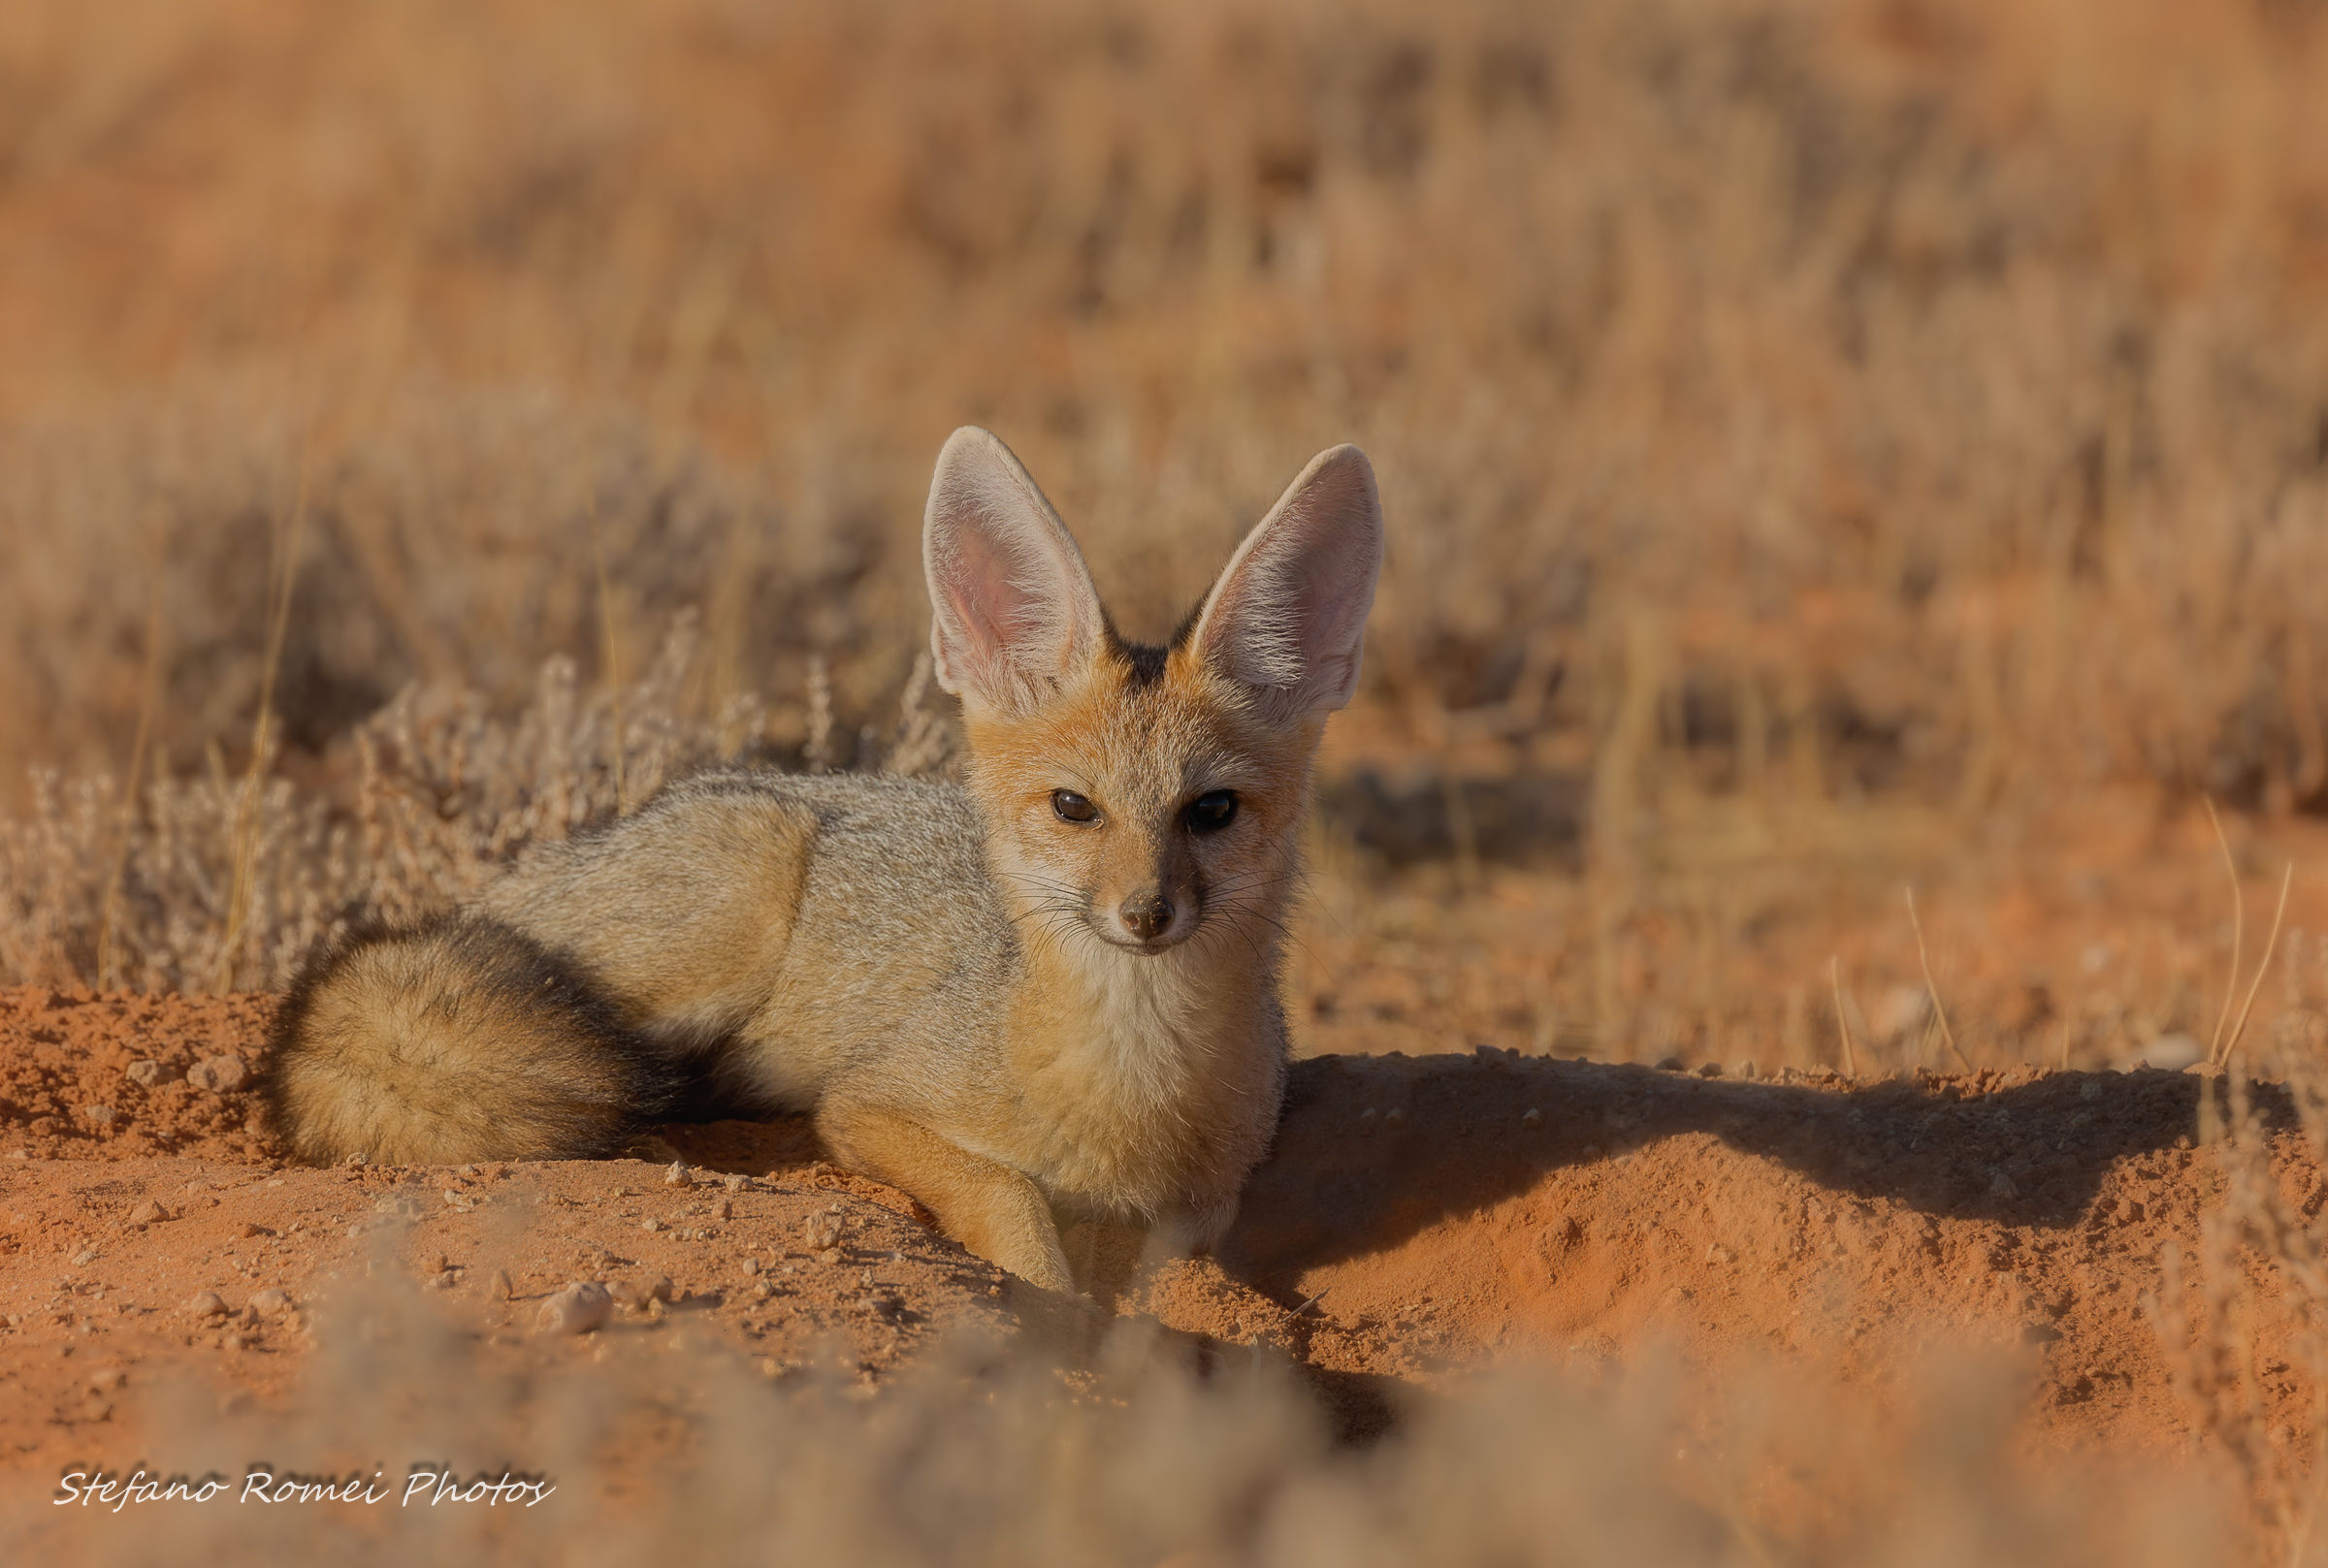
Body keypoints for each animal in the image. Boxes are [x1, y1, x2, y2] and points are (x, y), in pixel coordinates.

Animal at [264, 427, 1383, 1295]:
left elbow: (1164, 1267)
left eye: (1212, 811)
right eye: (1075, 807)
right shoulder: (869, 1107)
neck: (1131, 1085)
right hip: (736, 903)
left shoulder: (1213, 1196)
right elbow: (1009, 1198)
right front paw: (1049, 1310)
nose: (1147, 914)